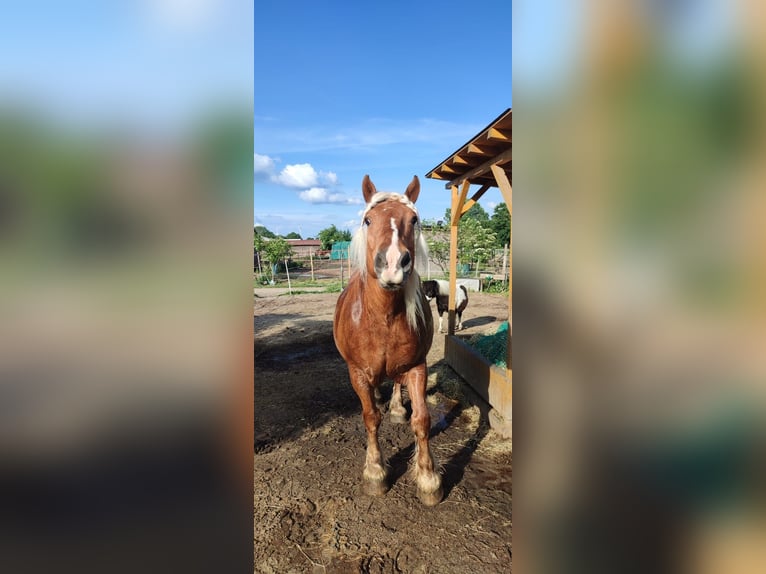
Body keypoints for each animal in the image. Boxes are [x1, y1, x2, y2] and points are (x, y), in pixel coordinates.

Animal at [333, 174, 443, 506]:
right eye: (368, 220)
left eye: (414, 219)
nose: (393, 263)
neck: (382, 317)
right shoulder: (357, 372)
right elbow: (370, 418)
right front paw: (375, 472)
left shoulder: (418, 367)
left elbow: (422, 420)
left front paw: (428, 479)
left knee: (395, 381)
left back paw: (394, 407)